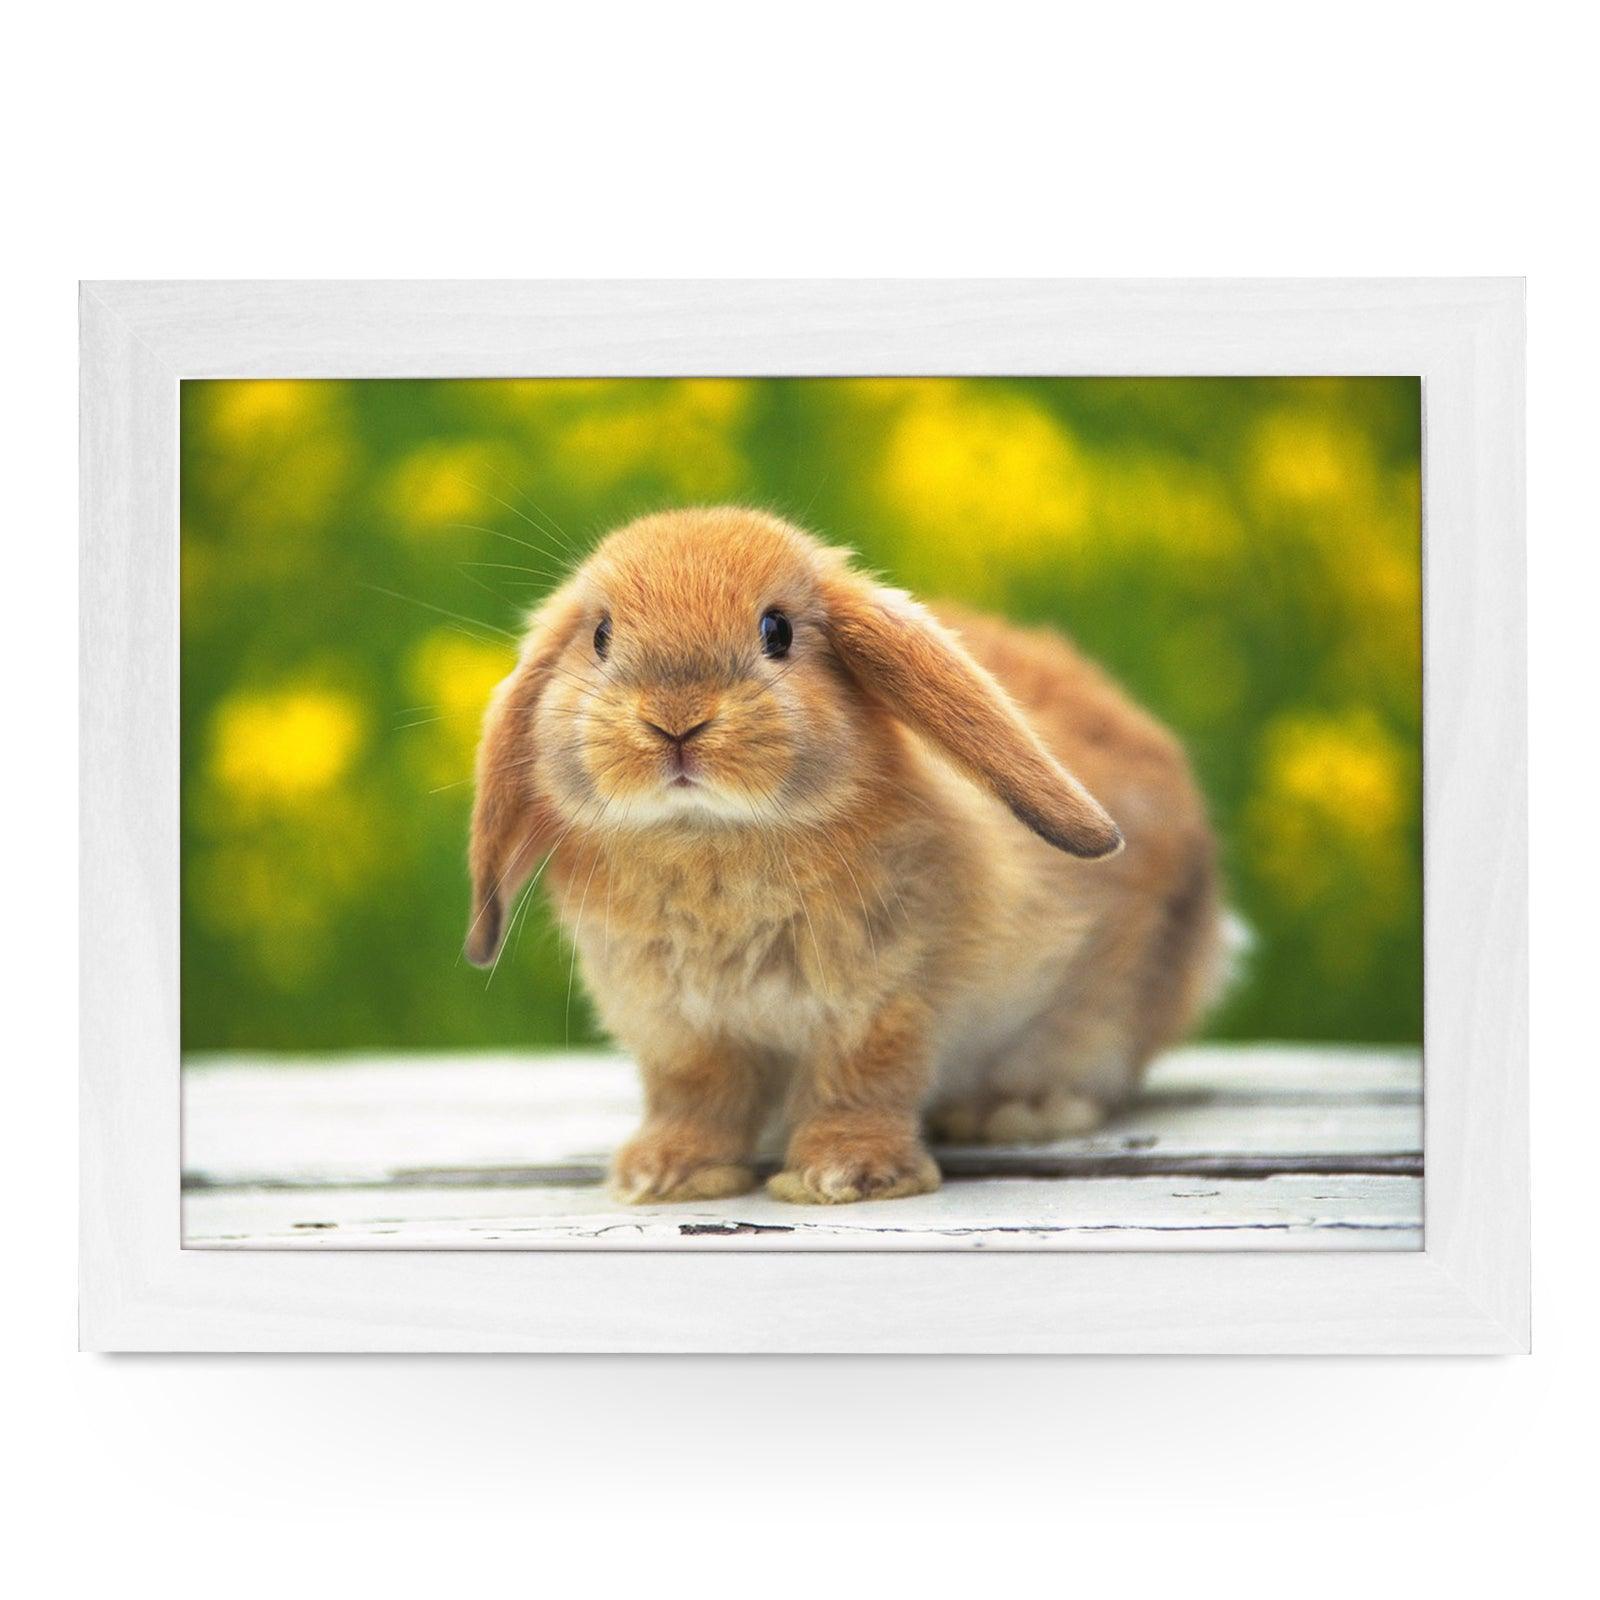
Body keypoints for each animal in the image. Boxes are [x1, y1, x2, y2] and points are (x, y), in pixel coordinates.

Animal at [466, 506, 1221, 1205]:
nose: (675, 719)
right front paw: (665, 1174)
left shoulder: (885, 1002)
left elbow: (860, 1083)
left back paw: (1015, 1111)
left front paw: (843, 1176)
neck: (709, 837)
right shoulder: (676, 1028)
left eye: (776, 631)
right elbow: (696, 1095)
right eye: (600, 636)